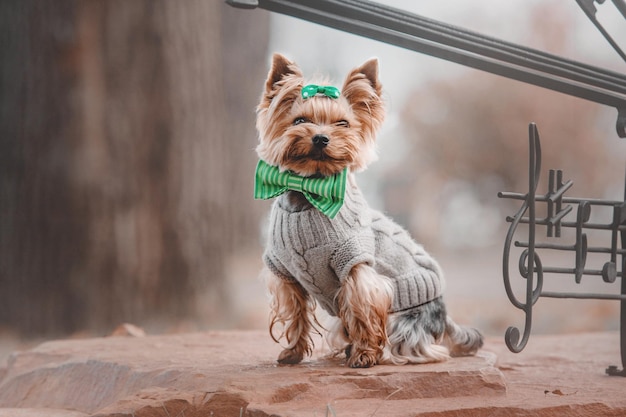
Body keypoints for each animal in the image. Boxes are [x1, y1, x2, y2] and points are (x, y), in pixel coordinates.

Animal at [251, 52, 480, 368]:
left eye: (342, 123)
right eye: (300, 120)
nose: (321, 138)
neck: (311, 191)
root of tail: (443, 316)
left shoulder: (355, 263)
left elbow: (363, 308)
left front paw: (365, 355)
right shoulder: (285, 273)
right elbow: (295, 313)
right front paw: (292, 353)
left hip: (406, 320)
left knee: (416, 345)